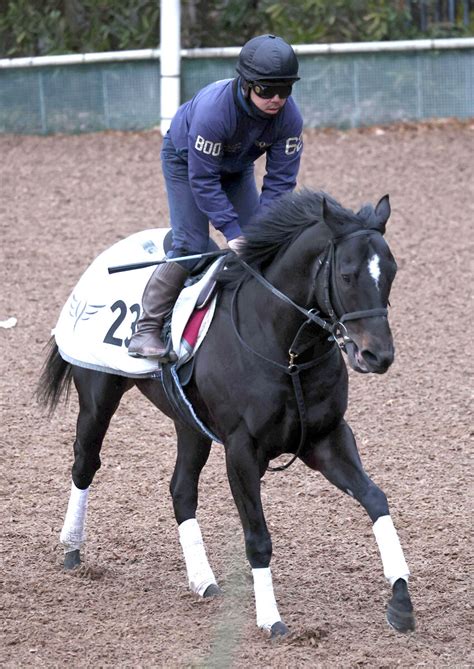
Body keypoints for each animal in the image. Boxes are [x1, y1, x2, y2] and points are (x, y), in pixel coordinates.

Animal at [37, 189, 414, 636]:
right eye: (347, 275)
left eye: (391, 272)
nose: (378, 355)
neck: (287, 351)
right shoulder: (241, 450)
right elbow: (258, 537)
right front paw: (270, 619)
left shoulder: (326, 437)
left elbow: (375, 499)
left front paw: (401, 599)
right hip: (98, 394)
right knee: (85, 463)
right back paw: (72, 549)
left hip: (190, 424)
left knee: (181, 489)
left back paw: (202, 580)